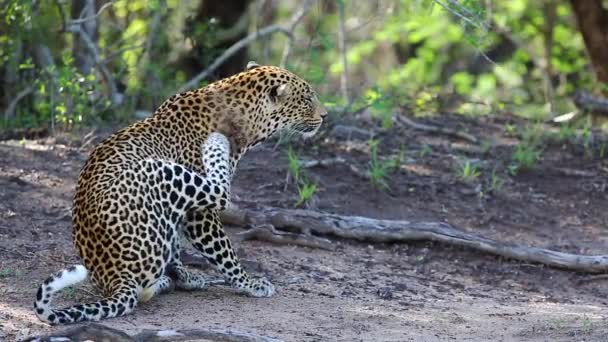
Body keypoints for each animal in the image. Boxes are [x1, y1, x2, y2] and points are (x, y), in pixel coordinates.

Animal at [33, 61, 328, 326]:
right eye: (307, 98)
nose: (325, 115)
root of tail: (114, 276)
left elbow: (178, 248)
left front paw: (187, 277)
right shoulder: (200, 214)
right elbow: (225, 252)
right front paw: (250, 283)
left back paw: (171, 279)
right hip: (157, 169)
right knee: (220, 195)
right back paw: (215, 147)